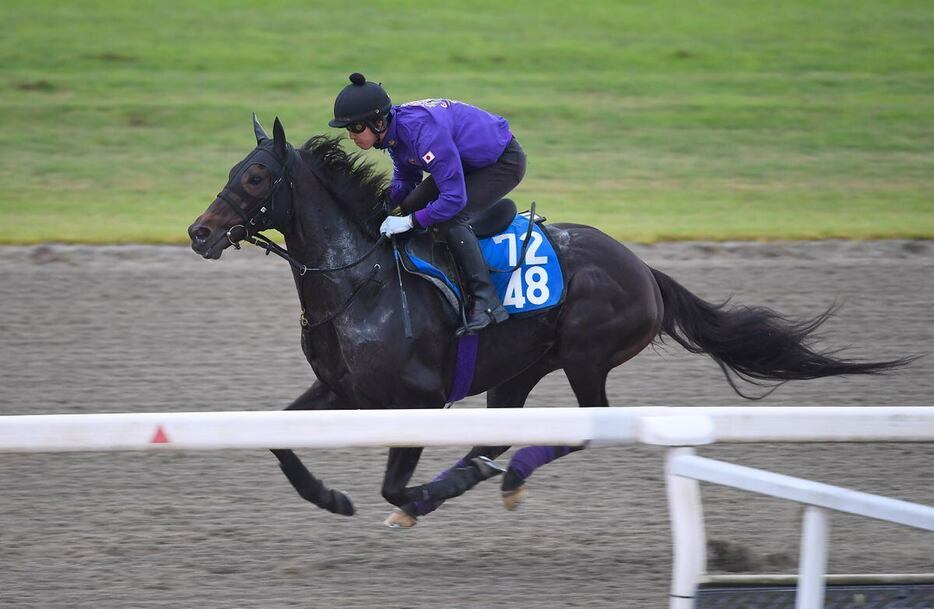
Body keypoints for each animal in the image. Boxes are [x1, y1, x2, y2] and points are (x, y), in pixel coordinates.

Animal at [186, 116, 912, 524]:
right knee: (500, 436)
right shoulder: (341, 389)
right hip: (520, 369)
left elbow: (394, 487)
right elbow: (280, 440)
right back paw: (475, 475)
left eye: (256, 178)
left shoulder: (415, 399)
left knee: (583, 427)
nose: (198, 232)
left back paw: (488, 478)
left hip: (587, 355)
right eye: (235, 169)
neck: (359, 281)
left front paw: (411, 500)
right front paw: (330, 497)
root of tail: (643, 268)